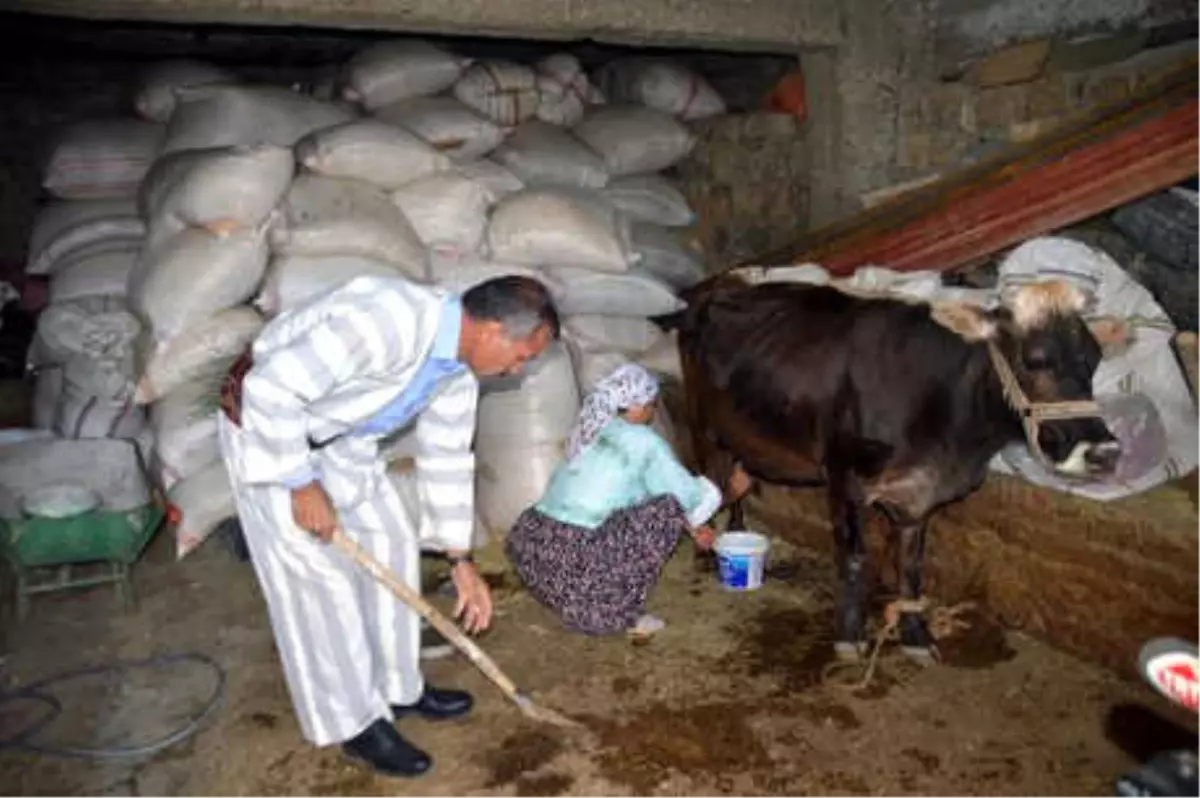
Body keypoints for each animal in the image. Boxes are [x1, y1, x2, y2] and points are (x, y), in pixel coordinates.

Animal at [662, 271, 1118, 662]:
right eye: (1034, 359)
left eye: (1095, 359)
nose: (1103, 451)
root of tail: (719, 283)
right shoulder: (845, 475)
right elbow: (854, 557)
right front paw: (849, 636)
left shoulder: (919, 495)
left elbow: (910, 569)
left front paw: (916, 635)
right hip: (703, 426)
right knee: (711, 477)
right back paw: (706, 550)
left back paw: (736, 532)